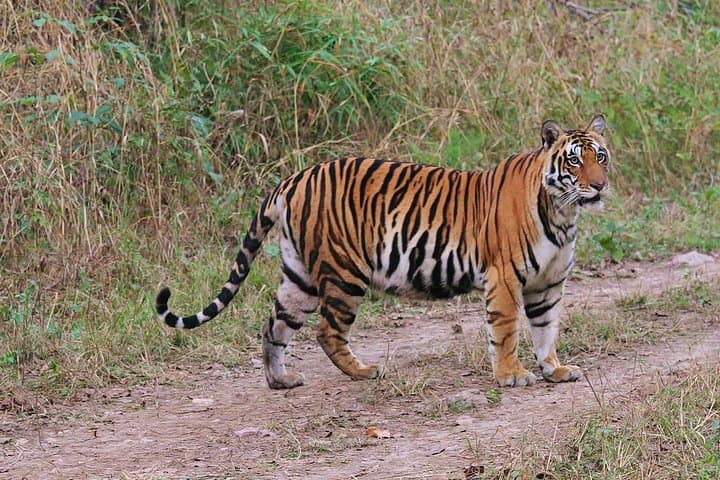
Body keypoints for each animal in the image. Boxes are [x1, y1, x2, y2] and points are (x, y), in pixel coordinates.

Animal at [156, 115, 610, 389]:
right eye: (574, 161)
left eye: (601, 156)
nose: (600, 185)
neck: (562, 213)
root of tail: (294, 178)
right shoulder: (504, 279)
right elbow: (506, 331)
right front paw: (511, 375)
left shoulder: (547, 284)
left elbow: (546, 329)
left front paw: (554, 369)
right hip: (344, 273)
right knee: (327, 332)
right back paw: (364, 371)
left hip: (299, 278)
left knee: (273, 325)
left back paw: (280, 381)